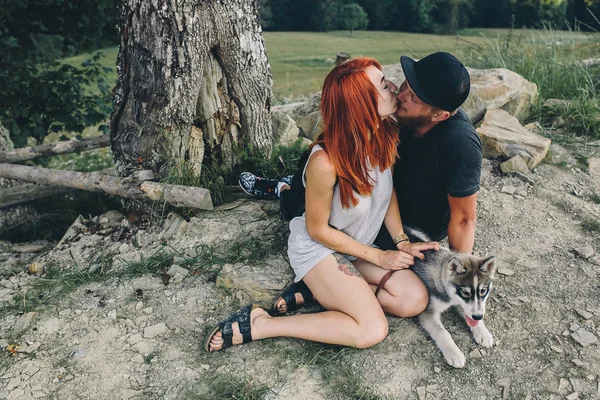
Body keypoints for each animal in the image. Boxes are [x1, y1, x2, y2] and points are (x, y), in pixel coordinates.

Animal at [410, 230, 500, 368]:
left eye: (483, 291)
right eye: (465, 292)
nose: (478, 316)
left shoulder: (461, 303)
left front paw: (483, 333)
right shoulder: (427, 312)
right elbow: (442, 333)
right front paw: (454, 354)